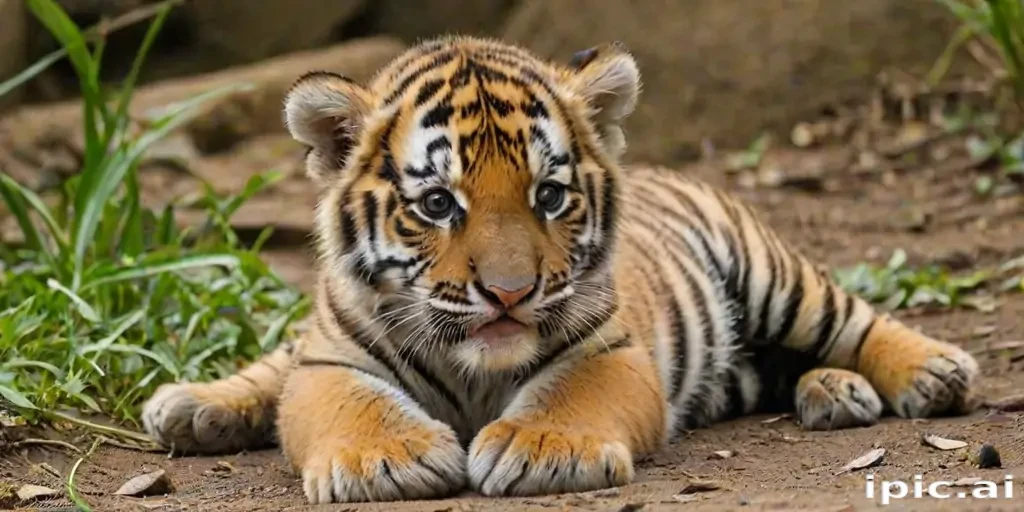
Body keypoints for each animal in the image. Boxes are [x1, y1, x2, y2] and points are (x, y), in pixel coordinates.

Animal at [141, 36, 981, 504]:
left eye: (548, 195)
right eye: (438, 203)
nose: (510, 293)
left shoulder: (613, 350)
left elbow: (570, 392)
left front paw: (542, 449)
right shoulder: (328, 359)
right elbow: (347, 404)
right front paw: (387, 459)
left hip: (770, 271)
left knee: (850, 321)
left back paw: (916, 374)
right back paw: (193, 405)